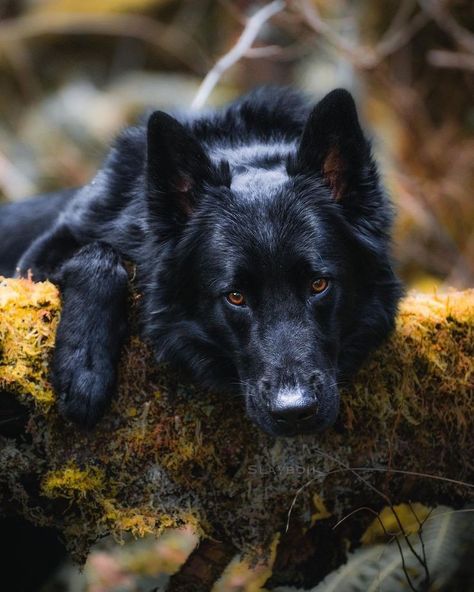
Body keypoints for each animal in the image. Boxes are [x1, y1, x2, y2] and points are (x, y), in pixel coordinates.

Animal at [0, 89, 402, 440]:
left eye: (319, 285)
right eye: (235, 296)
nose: (294, 412)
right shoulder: (40, 256)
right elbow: (99, 254)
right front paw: (84, 369)